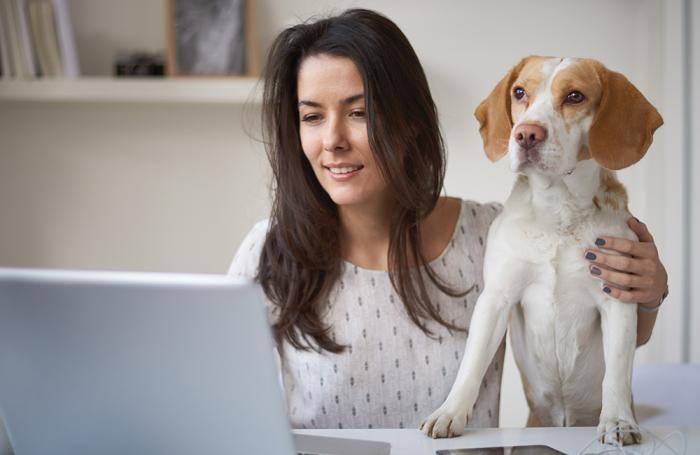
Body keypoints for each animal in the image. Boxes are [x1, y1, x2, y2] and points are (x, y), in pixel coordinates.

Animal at [422, 56, 660, 446]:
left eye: (575, 96)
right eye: (520, 93)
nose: (526, 134)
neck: (558, 212)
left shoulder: (618, 299)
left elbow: (616, 374)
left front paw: (618, 421)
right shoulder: (496, 298)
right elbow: (472, 364)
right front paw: (450, 413)